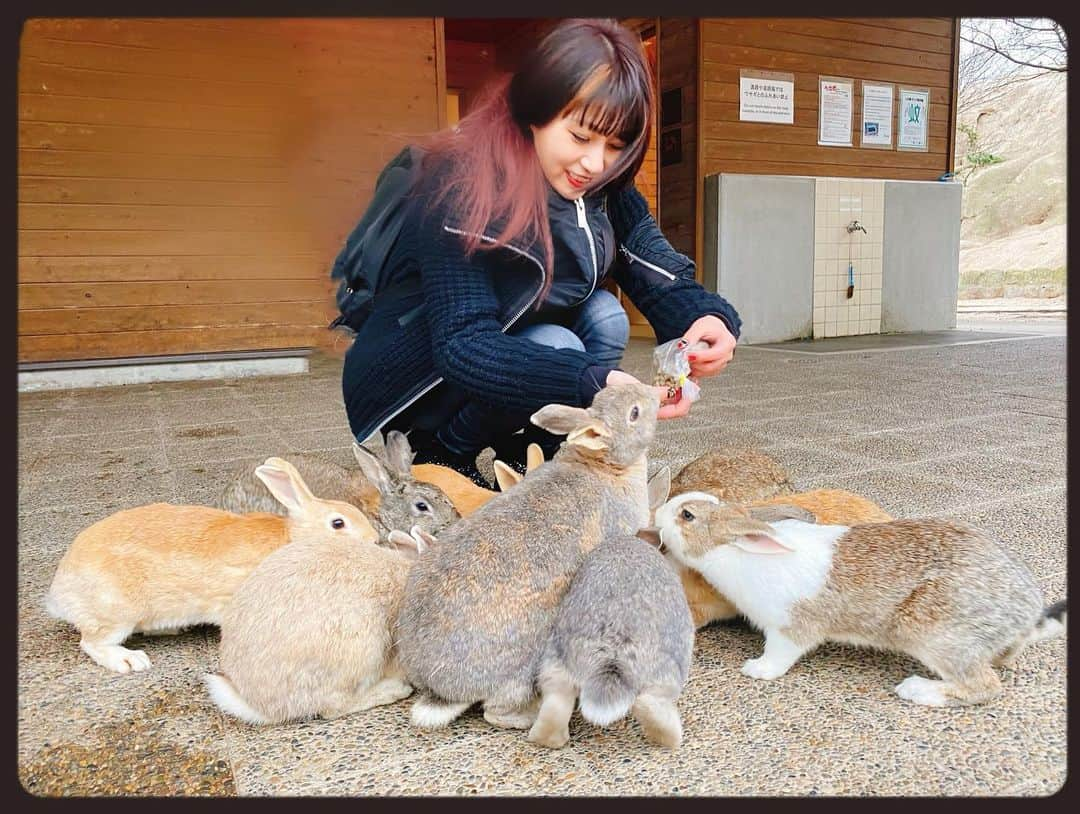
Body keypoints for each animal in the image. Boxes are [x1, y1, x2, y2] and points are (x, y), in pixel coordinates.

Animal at [44, 457, 382, 673]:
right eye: (338, 524)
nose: (375, 540)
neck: (294, 539)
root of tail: (59, 592)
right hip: (116, 614)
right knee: (91, 643)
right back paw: (130, 661)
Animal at [652, 487, 1067, 703]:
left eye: (687, 515)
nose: (656, 514)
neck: (736, 550)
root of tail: (1026, 613)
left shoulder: (790, 628)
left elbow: (781, 655)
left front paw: (756, 670)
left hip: (937, 635)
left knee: (983, 687)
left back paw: (915, 689)